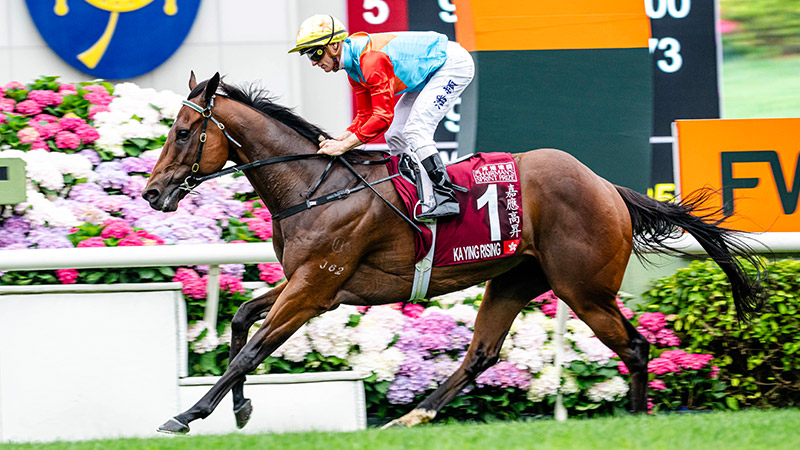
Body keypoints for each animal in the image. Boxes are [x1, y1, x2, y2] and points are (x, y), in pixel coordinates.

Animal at [142, 72, 766, 434]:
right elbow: (242, 322)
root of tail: (609, 187)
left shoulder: (316, 286)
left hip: (584, 287)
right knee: (481, 353)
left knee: (634, 347)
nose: (151, 193)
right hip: (515, 277)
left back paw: (636, 425)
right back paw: (412, 415)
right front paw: (240, 408)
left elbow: (252, 349)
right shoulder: (311, 282)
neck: (315, 185)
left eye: (181, 132)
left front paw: (187, 414)